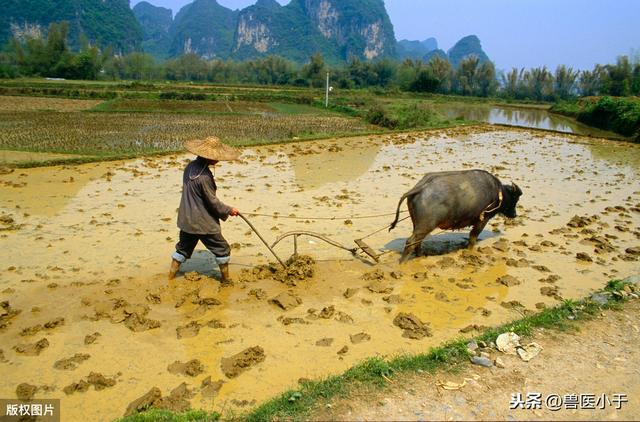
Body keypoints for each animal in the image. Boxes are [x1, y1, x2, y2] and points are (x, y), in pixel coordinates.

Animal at [388, 170, 524, 262]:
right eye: (516, 198)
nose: (514, 214)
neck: (498, 193)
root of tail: (421, 187)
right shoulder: (482, 219)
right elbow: (473, 237)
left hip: (417, 224)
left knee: (417, 242)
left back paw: (420, 256)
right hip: (425, 225)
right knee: (410, 242)